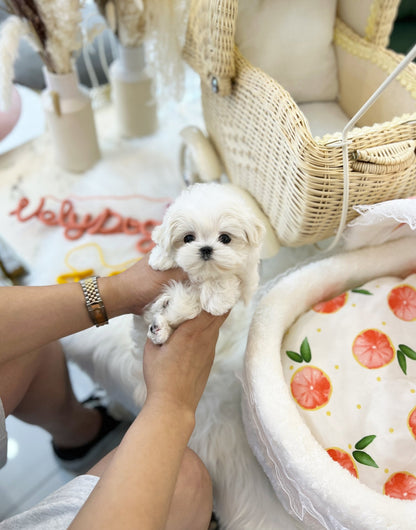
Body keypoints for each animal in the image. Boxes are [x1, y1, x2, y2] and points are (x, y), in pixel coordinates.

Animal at [145, 182, 264, 344]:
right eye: (188, 238)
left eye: (225, 238)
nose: (206, 248)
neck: (203, 272)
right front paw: (161, 257)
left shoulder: (247, 276)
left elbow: (224, 277)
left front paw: (216, 299)